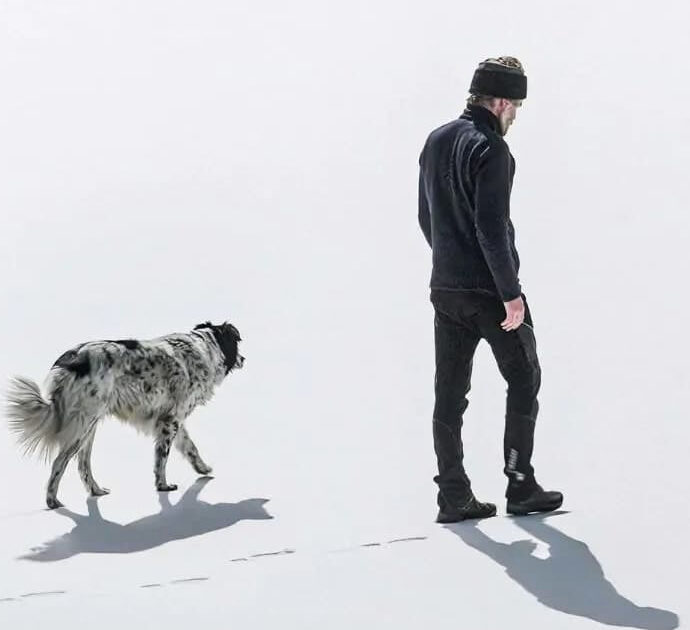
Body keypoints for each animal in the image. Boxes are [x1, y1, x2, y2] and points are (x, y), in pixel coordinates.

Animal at [4, 324, 242, 512]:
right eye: (237, 344)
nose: (244, 359)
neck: (205, 347)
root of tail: (74, 357)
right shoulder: (171, 420)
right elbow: (162, 457)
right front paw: (163, 486)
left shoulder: (173, 420)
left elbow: (190, 448)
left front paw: (203, 469)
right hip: (83, 425)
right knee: (59, 463)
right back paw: (52, 501)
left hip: (89, 425)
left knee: (83, 465)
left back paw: (96, 490)